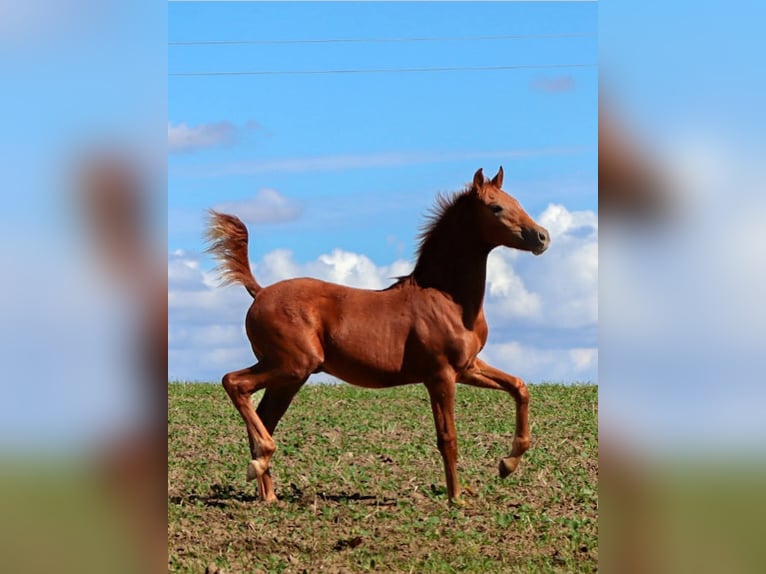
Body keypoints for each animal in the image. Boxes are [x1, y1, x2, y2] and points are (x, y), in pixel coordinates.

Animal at [206, 167, 550, 503]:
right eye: (496, 208)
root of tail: (260, 292)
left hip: (288, 377)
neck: (447, 299)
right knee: (234, 383)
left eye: (517, 202)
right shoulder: (440, 375)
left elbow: (519, 387)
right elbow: (447, 437)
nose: (542, 237)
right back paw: (260, 462)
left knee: (263, 416)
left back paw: (269, 493)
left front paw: (507, 464)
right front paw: (456, 498)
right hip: (293, 365)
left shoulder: (467, 367)